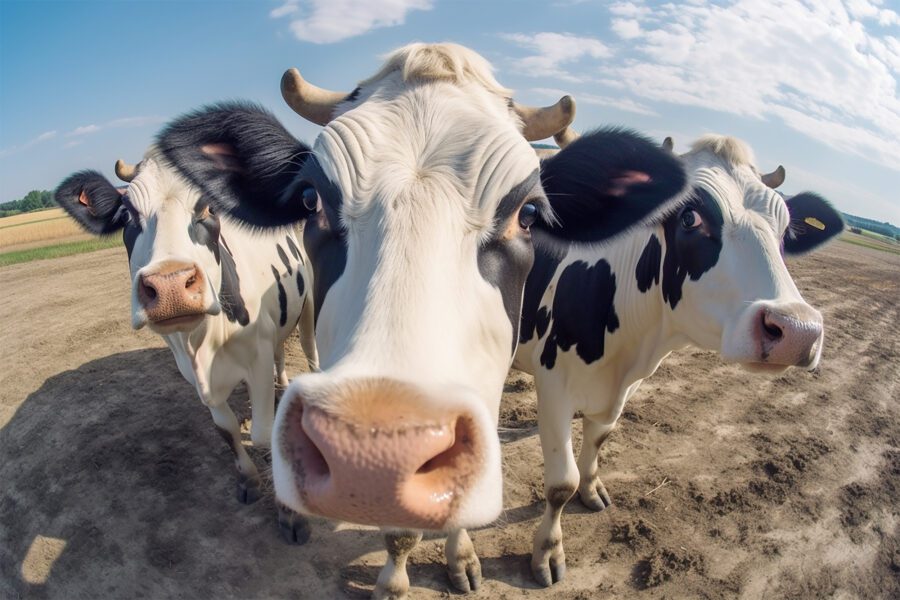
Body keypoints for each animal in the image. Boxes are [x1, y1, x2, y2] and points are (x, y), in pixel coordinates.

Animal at [53, 146, 320, 544]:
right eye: (127, 213)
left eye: (208, 206)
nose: (170, 286)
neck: (205, 342)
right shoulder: (192, 371)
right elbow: (225, 428)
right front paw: (248, 480)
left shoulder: (255, 357)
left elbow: (261, 433)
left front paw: (290, 515)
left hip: (310, 304)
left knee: (310, 350)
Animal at [153, 43, 688, 596]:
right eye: (310, 199)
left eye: (530, 213)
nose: (369, 458)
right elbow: (401, 531)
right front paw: (397, 580)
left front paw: (465, 558)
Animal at [512, 132, 844, 584]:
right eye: (689, 218)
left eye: (784, 228)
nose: (798, 330)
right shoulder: (555, 387)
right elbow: (561, 483)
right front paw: (547, 552)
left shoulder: (623, 388)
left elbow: (598, 440)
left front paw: (592, 489)